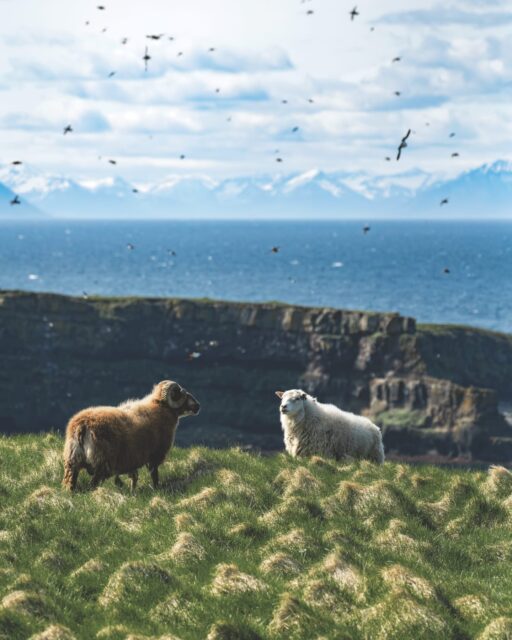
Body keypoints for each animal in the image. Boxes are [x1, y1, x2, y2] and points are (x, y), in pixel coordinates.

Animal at [63, 380, 200, 492]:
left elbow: (134, 477)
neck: (161, 408)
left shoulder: (132, 460)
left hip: (72, 462)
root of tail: (82, 426)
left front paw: (132, 491)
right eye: (180, 394)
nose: (198, 406)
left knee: (70, 484)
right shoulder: (154, 455)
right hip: (101, 463)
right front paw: (156, 489)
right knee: (93, 484)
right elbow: (154, 475)